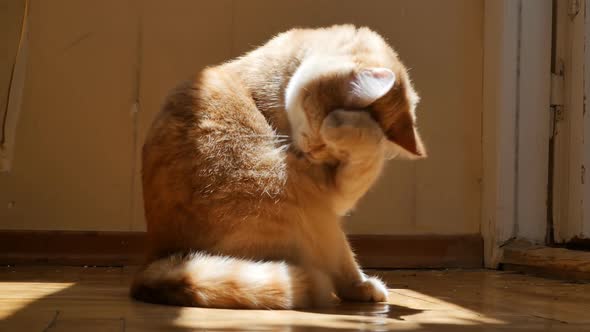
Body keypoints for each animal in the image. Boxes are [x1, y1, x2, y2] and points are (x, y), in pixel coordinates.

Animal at [131, 24, 426, 310]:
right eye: (328, 147)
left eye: (336, 157)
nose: (312, 153)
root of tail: (154, 262)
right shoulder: (326, 191)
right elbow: (368, 147)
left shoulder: (336, 188)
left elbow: (367, 160)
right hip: (304, 204)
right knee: (337, 260)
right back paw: (360, 287)